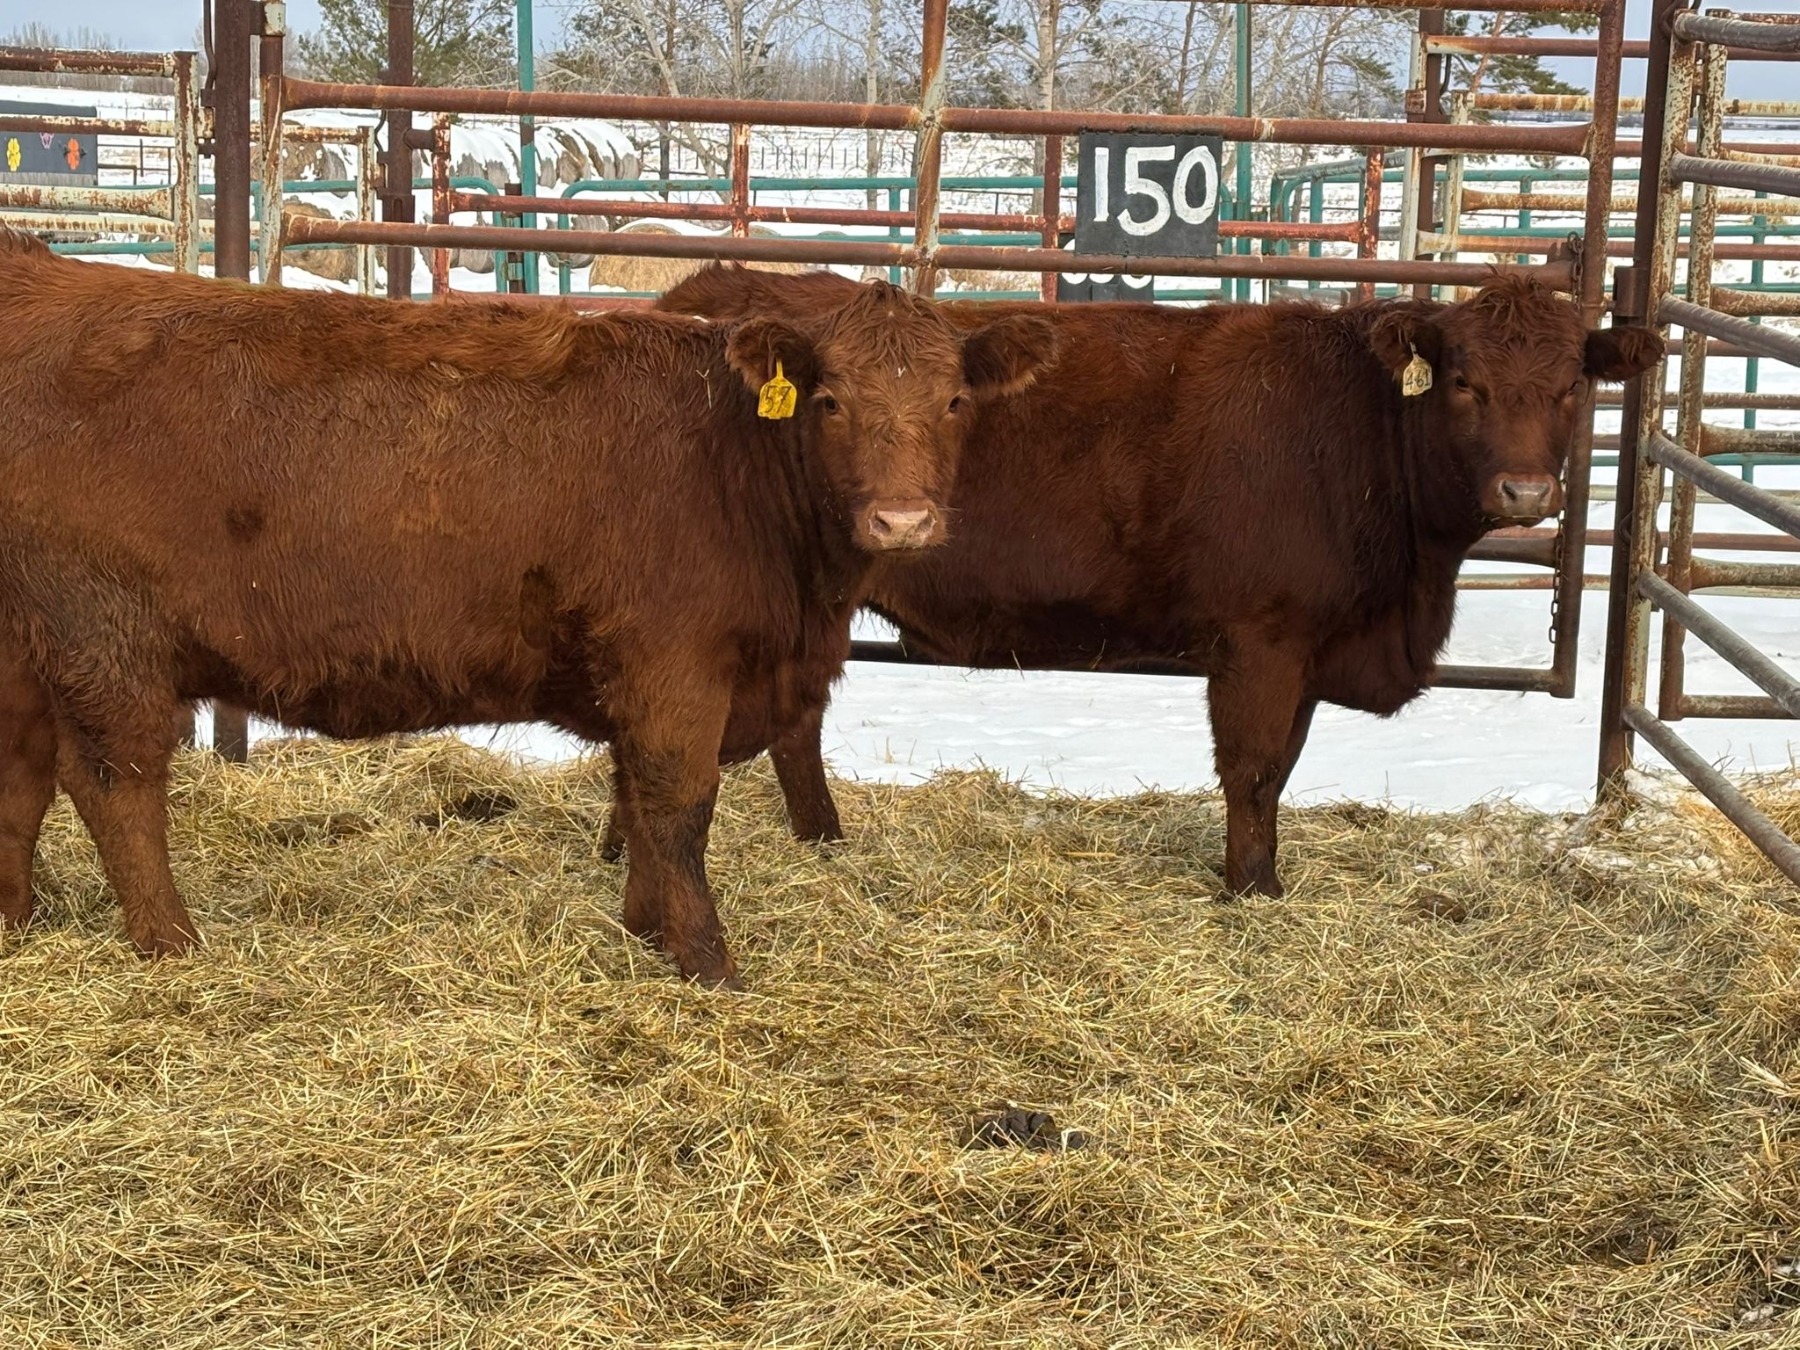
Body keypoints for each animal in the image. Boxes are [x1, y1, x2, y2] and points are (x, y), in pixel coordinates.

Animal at [0, 232, 1056, 986]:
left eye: (955, 400)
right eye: (830, 400)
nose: (902, 518)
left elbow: (636, 800)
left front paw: (645, 928)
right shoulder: (674, 664)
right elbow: (678, 805)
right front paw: (706, 960)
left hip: (25, 651)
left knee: (23, 775)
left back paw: (19, 920)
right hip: (105, 638)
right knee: (116, 784)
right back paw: (170, 943)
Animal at [650, 264, 1663, 898]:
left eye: (1574, 385)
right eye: (1463, 381)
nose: (1526, 490)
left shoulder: (1302, 648)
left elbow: (1282, 769)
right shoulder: (1261, 638)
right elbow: (1252, 768)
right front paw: (1252, 891)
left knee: (798, 721)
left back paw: (825, 840)